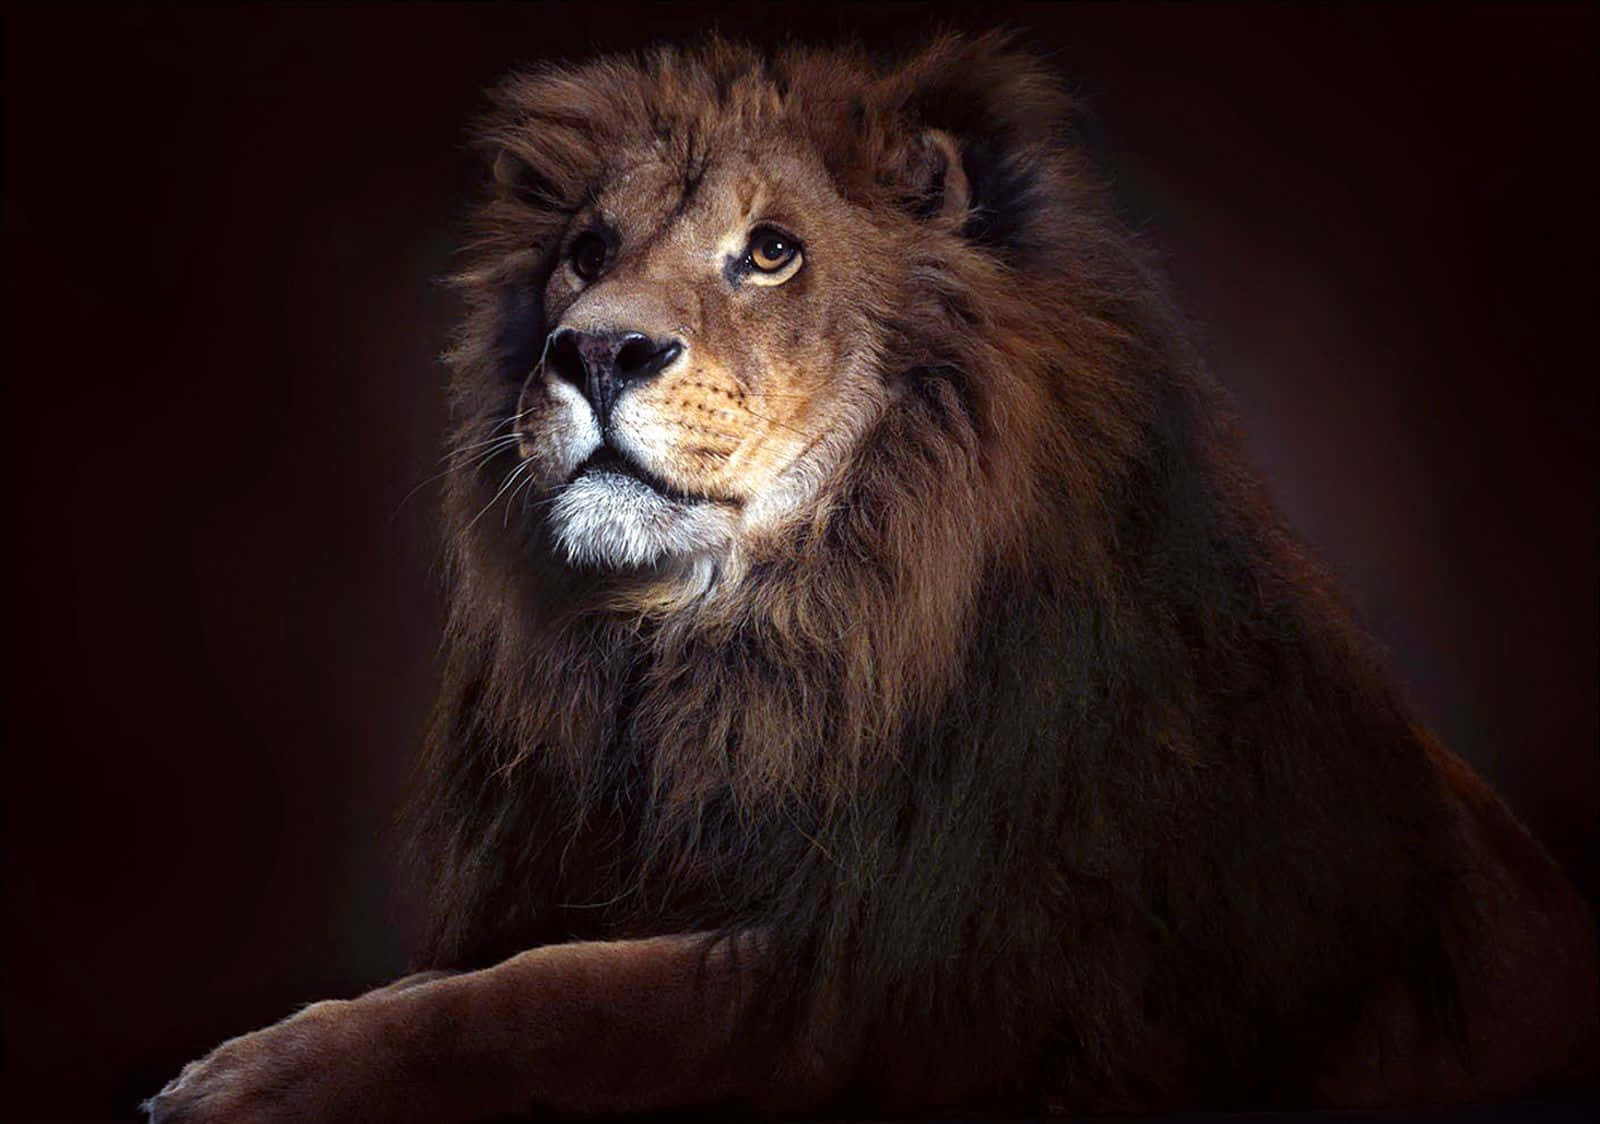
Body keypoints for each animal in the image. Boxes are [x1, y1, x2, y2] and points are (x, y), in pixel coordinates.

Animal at [147, 34, 1596, 1121]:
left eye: (770, 250)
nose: (593, 350)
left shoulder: (906, 980)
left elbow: (557, 997)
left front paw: (252, 1081)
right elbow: (495, 974)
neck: (755, 648)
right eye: (586, 250)